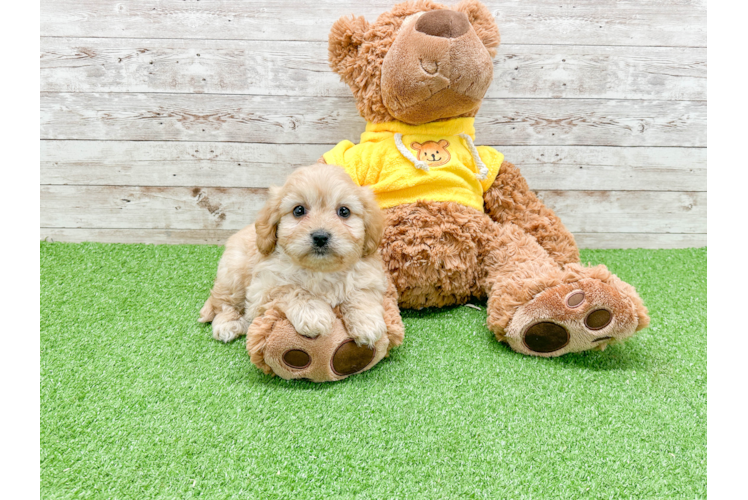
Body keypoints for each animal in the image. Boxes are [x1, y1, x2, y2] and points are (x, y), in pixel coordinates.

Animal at [199, 163, 386, 348]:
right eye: (299, 210)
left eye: (344, 212)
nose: (320, 237)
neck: (320, 270)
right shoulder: (262, 290)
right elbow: (293, 290)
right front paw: (313, 314)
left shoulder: (368, 277)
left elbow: (361, 294)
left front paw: (367, 323)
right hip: (234, 273)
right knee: (223, 302)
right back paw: (228, 324)